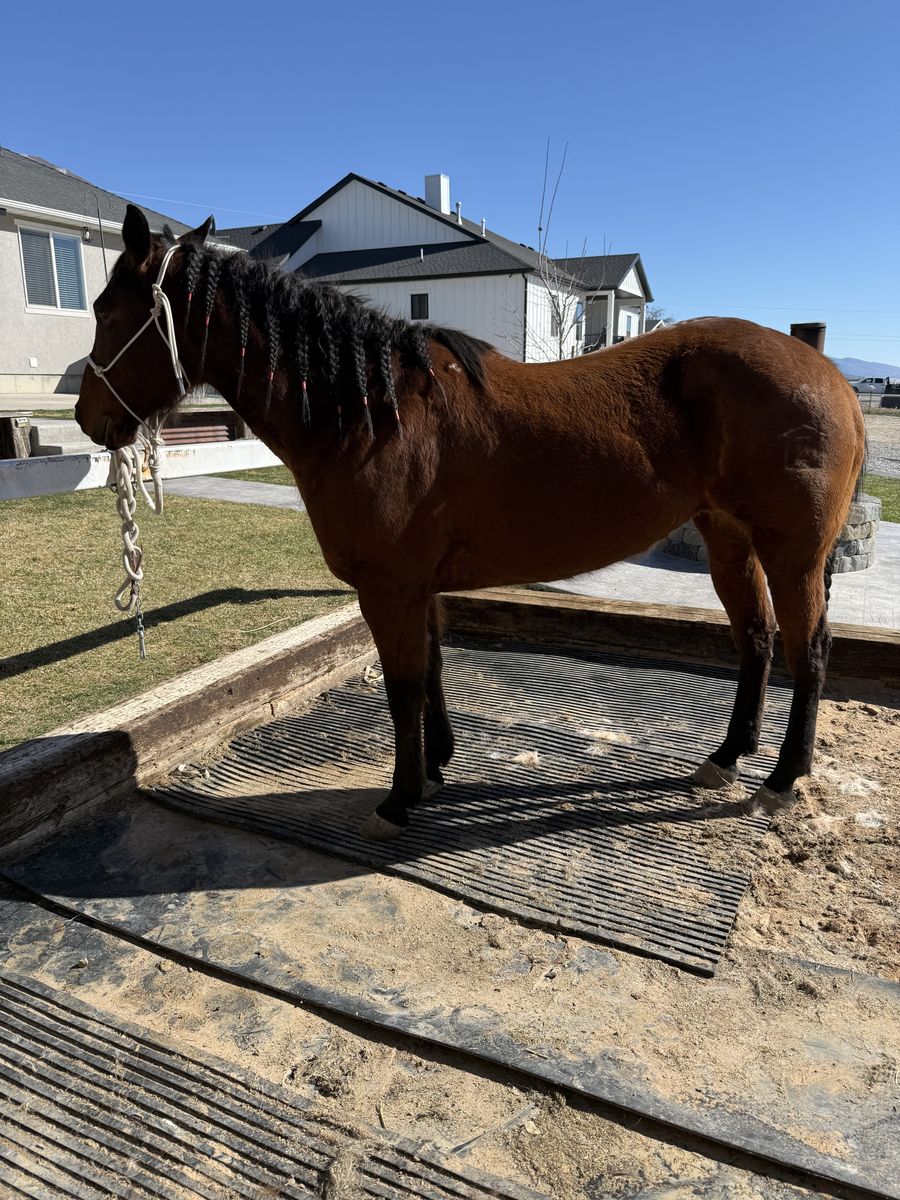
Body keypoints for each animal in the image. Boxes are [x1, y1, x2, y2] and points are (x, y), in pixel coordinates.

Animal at [76, 205, 865, 841]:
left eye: (108, 312)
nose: (88, 418)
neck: (374, 414)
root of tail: (831, 376)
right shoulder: (417, 586)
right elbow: (430, 673)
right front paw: (434, 771)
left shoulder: (389, 588)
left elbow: (402, 687)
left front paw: (399, 799)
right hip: (728, 538)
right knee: (756, 640)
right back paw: (726, 757)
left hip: (792, 553)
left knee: (810, 652)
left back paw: (782, 779)